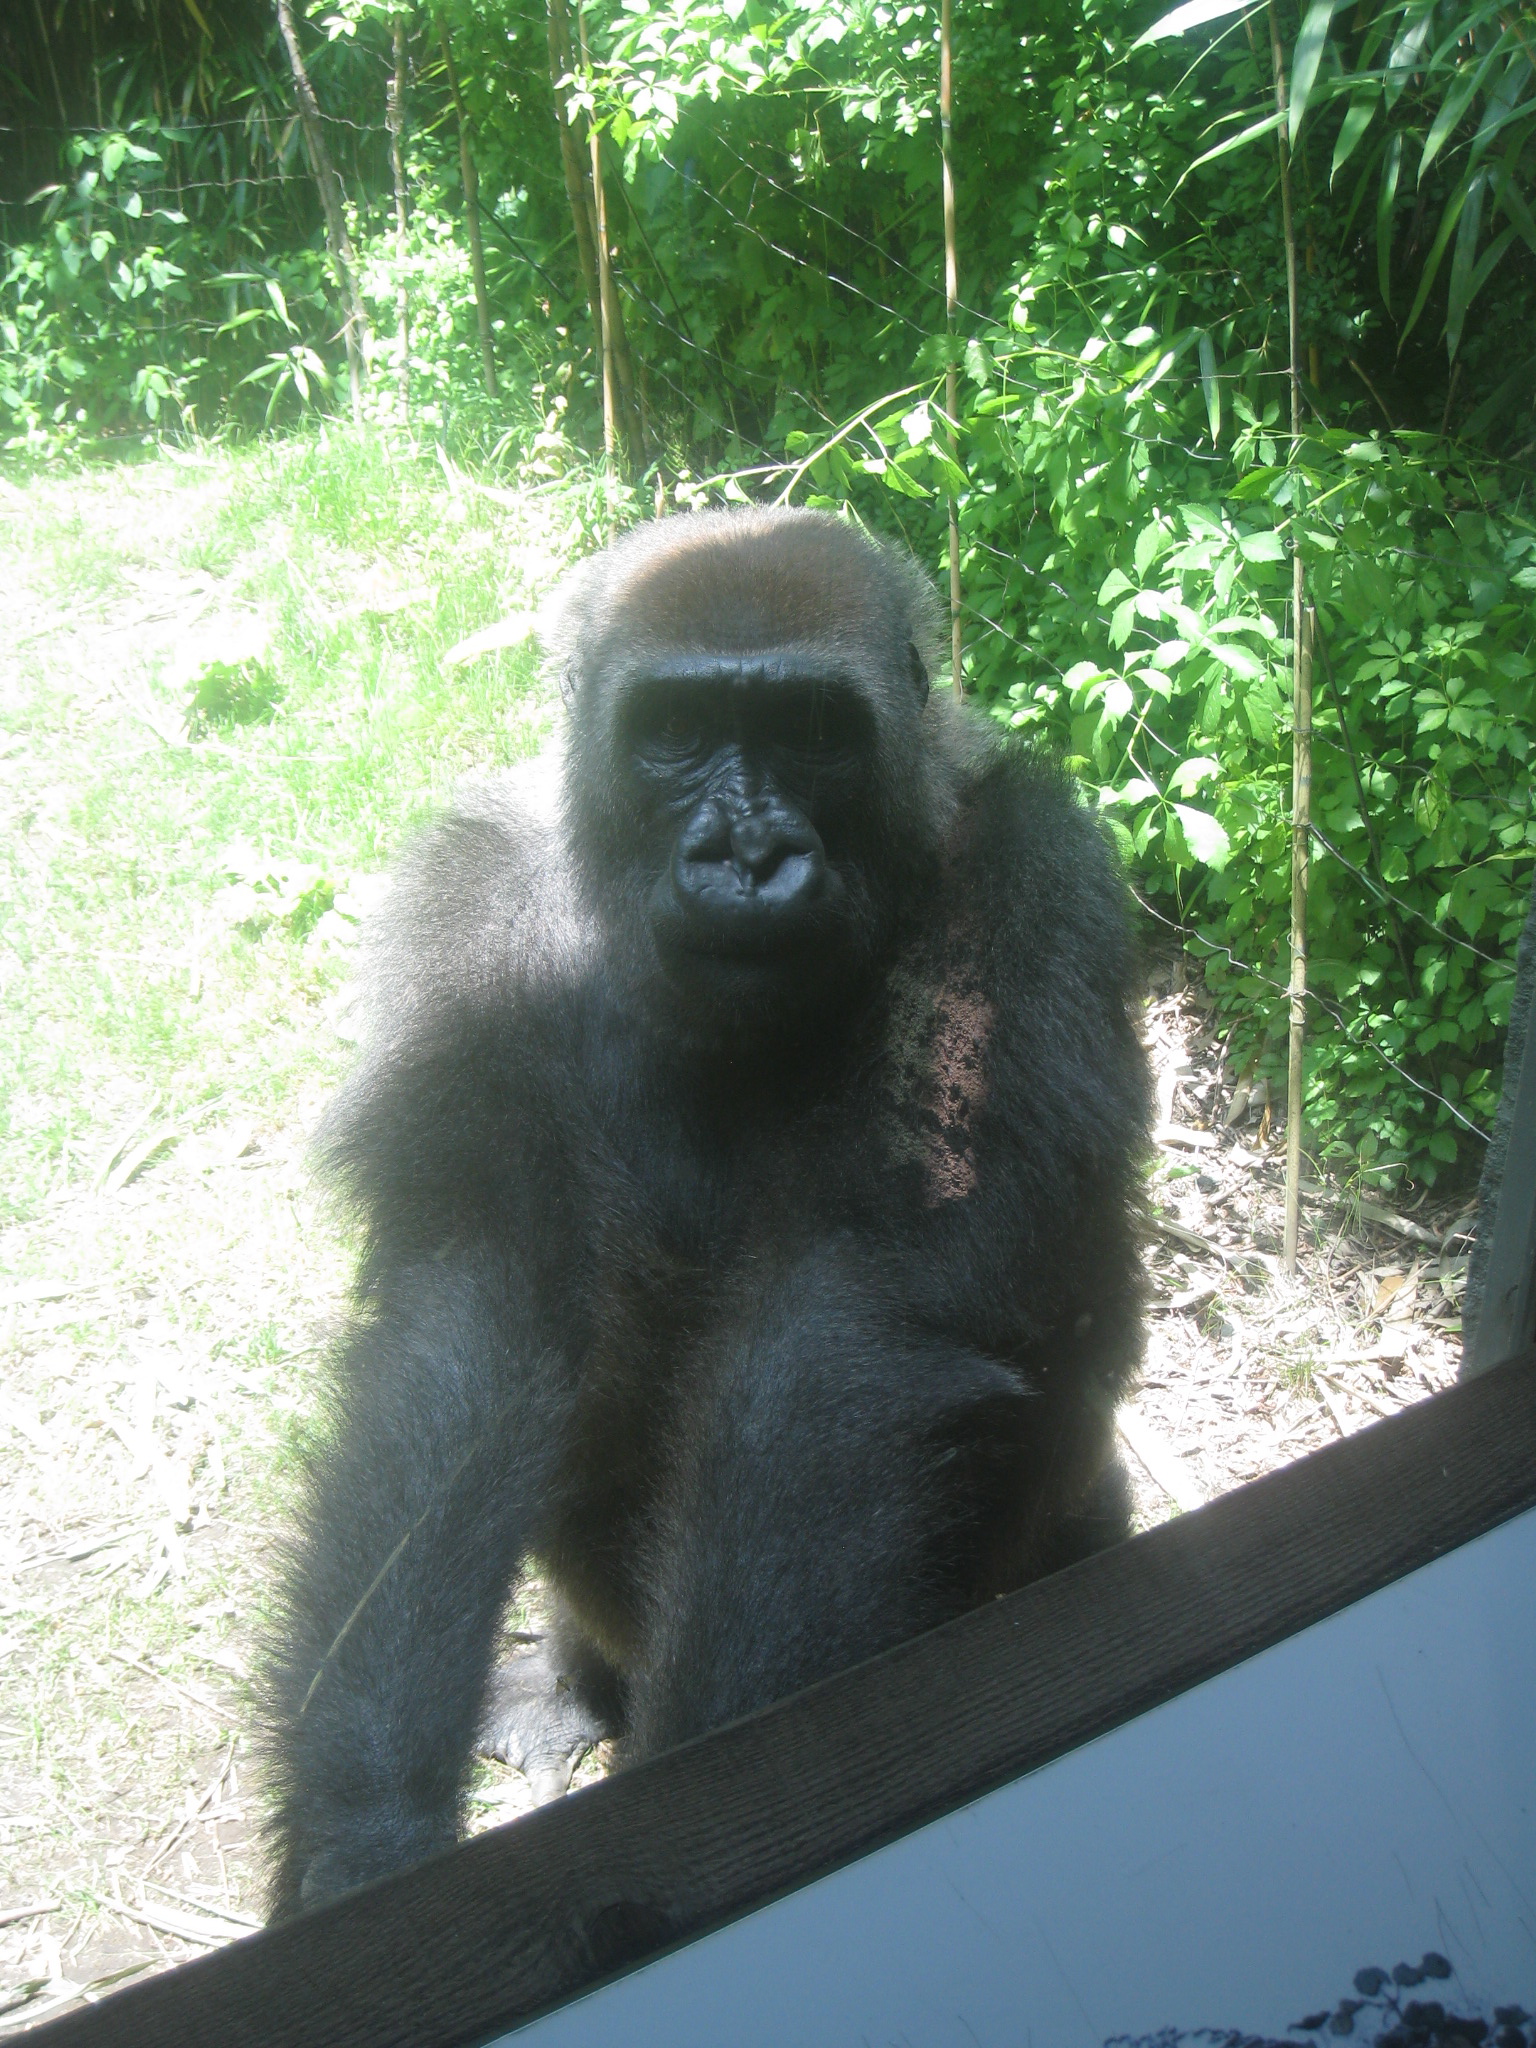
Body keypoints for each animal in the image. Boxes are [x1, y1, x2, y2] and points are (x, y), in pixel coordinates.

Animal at [264, 507, 1155, 1916]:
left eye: (811, 730)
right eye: (675, 729)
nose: (748, 855)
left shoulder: (1025, 868)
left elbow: (857, 1318)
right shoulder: (474, 893)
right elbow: (467, 1301)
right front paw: (364, 1838)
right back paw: (576, 1681)